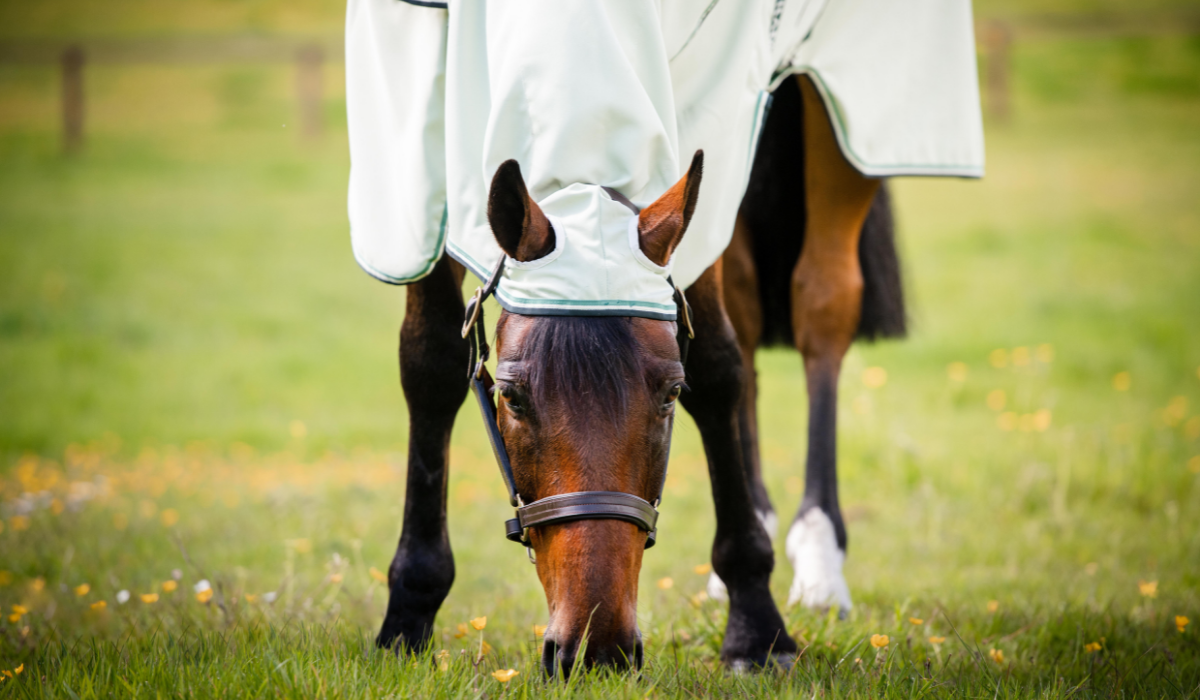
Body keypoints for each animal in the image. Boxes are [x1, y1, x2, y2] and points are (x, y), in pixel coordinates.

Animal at [372, 71, 905, 675]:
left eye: (672, 393)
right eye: (511, 396)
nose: (595, 649)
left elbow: (717, 369)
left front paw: (757, 629)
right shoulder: (426, 176)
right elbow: (430, 363)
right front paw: (407, 615)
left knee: (823, 303)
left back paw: (818, 559)